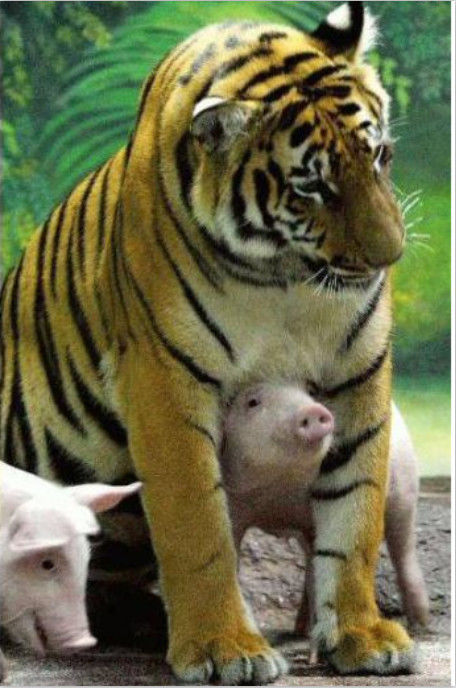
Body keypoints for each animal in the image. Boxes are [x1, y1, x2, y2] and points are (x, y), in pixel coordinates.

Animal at [0, 1, 415, 681]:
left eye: (379, 156)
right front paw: (224, 648)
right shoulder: (163, 379)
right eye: (312, 187)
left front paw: (361, 635)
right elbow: (199, 526)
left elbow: (355, 512)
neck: (285, 278)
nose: (391, 256)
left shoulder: (359, 371)